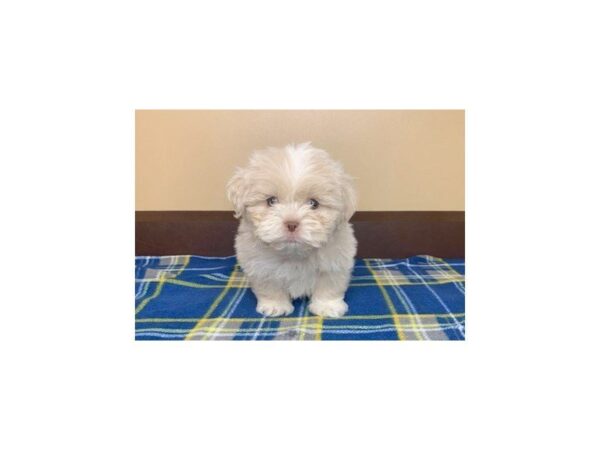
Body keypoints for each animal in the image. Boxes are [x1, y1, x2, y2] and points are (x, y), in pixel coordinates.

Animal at [226, 142, 356, 318]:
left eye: (313, 203)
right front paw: (275, 305)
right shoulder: (260, 267)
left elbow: (329, 285)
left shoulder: (335, 262)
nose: (292, 223)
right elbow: (270, 286)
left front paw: (327, 306)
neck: (294, 254)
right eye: (271, 201)